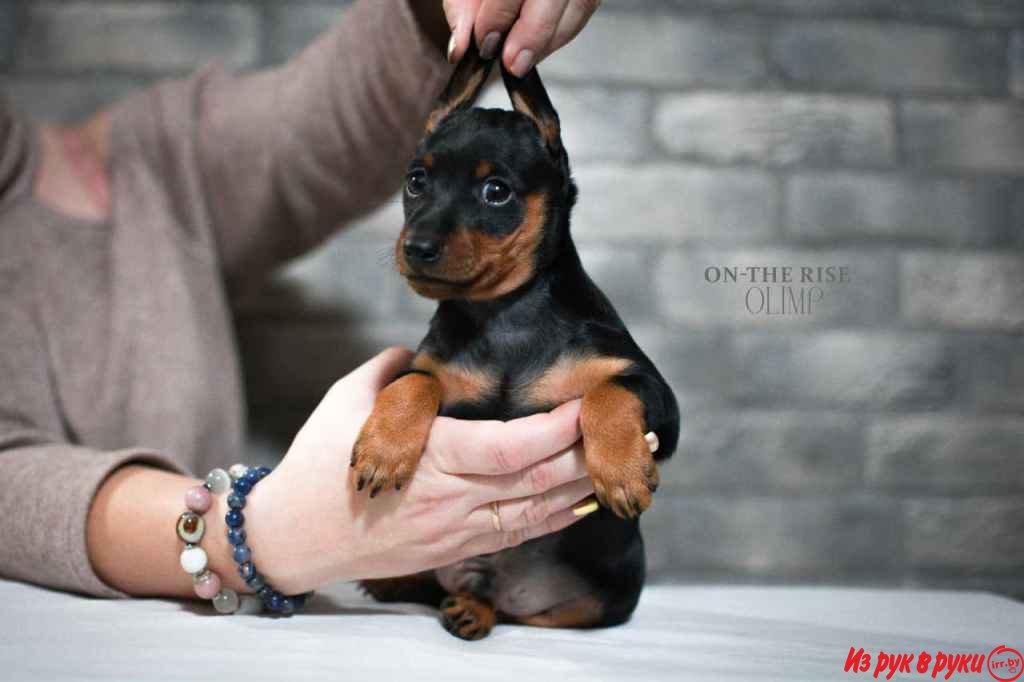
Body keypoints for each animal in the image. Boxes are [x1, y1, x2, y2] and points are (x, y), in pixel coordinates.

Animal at [352, 47, 679, 638]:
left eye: (496, 191)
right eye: (415, 181)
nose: (417, 248)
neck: (504, 314)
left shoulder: (657, 397)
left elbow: (610, 394)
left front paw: (621, 471)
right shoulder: (428, 369)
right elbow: (411, 385)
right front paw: (385, 451)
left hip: (613, 592)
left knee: (520, 611)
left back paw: (473, 608)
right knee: (442, 586)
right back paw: (411, 587)